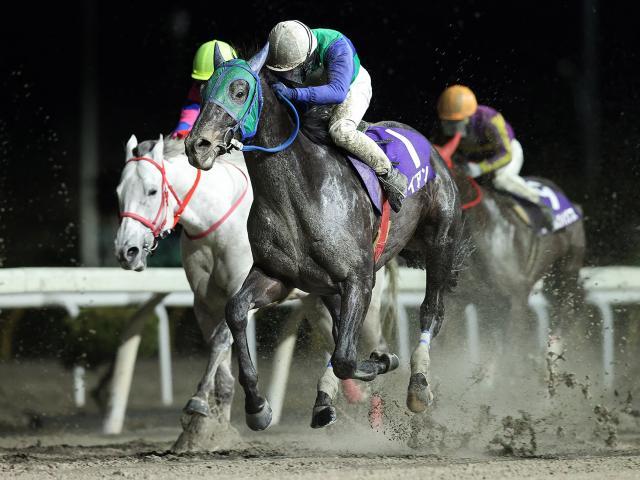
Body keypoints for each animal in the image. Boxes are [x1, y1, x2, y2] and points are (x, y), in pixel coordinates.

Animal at [115, 135, 396, 446]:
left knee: (376, 344)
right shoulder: (205, 303)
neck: (216, 226)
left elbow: (220, 340)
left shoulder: (245, 289)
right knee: (337, 338)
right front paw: (212, 427)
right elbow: (219, 356)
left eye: (152, 191)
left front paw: (198, 402)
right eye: (119, 192)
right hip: (319, 302)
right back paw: (329, 406)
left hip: (364, 300)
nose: (126, 251)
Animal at [182, 43, 468, 430]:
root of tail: (429, 147)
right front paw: (257, 407)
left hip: (441, 241)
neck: (298, 194)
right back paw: (323, 402)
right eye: (202, 93)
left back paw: (418, 385)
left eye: (239, 91)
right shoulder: (278, 276)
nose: (197, 146)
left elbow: (348, 356)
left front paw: (382, 361)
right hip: (329, 286)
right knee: (336, 331)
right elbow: (236, 310)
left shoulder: (359, 278)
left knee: (431, 312)